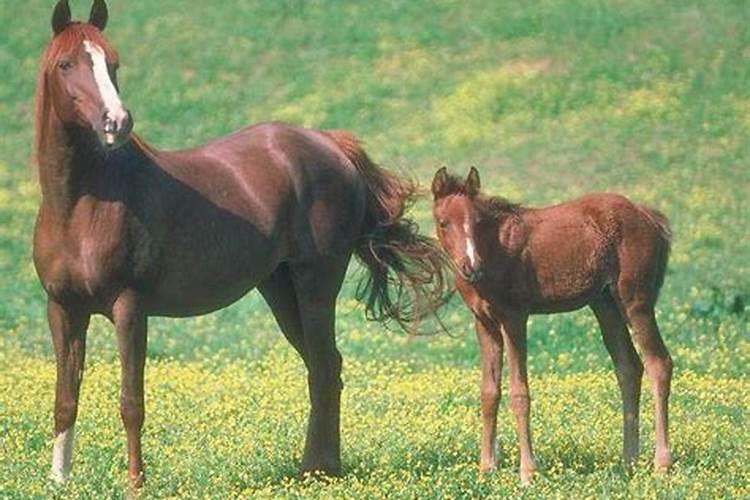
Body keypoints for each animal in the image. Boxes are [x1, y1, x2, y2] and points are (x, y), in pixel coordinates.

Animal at [35, 0, 450, 484]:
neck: (83, 205)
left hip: (317, 281)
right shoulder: (63, 308)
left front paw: (136, 483)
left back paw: (318, 470)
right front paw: (58, 481)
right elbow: (65, 400)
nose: (116, 122)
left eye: (113, 63)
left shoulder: (129, 307)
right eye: (66, 64)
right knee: (323, 366)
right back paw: (319, 468)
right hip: (279, 288)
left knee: (324, 367)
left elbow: (131, 402)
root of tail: (330, 144)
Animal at [434, 168, 676, 484]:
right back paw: (628, 462)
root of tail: (650, 216)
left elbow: (519, 393)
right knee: (629, 367)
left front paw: (527, 473)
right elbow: (489, 392)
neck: (495, 250)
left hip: (636, 302)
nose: (470, 267)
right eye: (443, 222)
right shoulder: (484, 322)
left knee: (659, 363)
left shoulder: (514, 317)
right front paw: (486, 469)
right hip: (606, 305)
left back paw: (662, 464)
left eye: (476, 222)